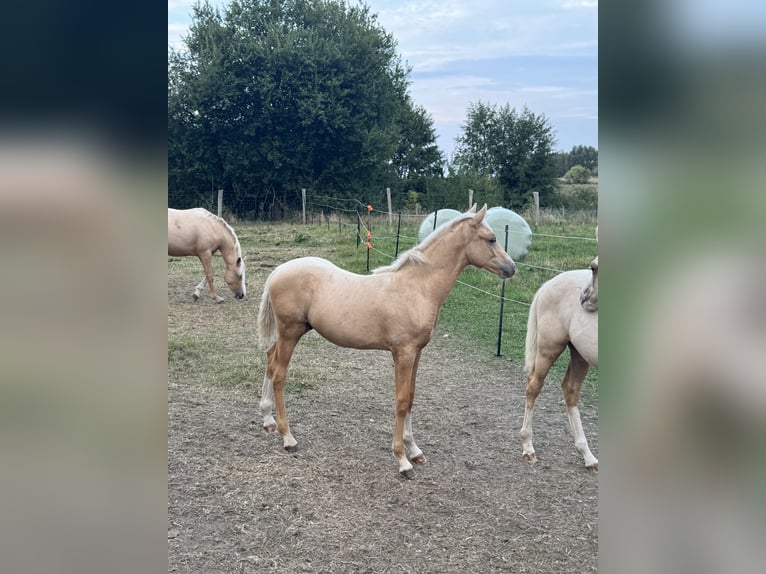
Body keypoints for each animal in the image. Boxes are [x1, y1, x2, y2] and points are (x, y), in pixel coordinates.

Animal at [258, 205, 516, 480]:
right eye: (491, 239)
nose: (511, 268)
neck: (417, 287)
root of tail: (277, 271)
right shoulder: (403, 353)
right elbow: (401, 401)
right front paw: (402, 460)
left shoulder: (417, 352)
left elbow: (411, 397)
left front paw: (415, 450)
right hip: (290, 332)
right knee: (279, 375)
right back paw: (288, 438)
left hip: (292, 333)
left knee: (270, 359)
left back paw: (268, 420)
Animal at [520, 264, 600, 474]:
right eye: (593, 267)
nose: (584, 298)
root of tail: (549, 283)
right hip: (549, 349)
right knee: (533, 386)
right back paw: (528, 448)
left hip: (580, 353)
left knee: (570, 389)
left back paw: (588, 456)